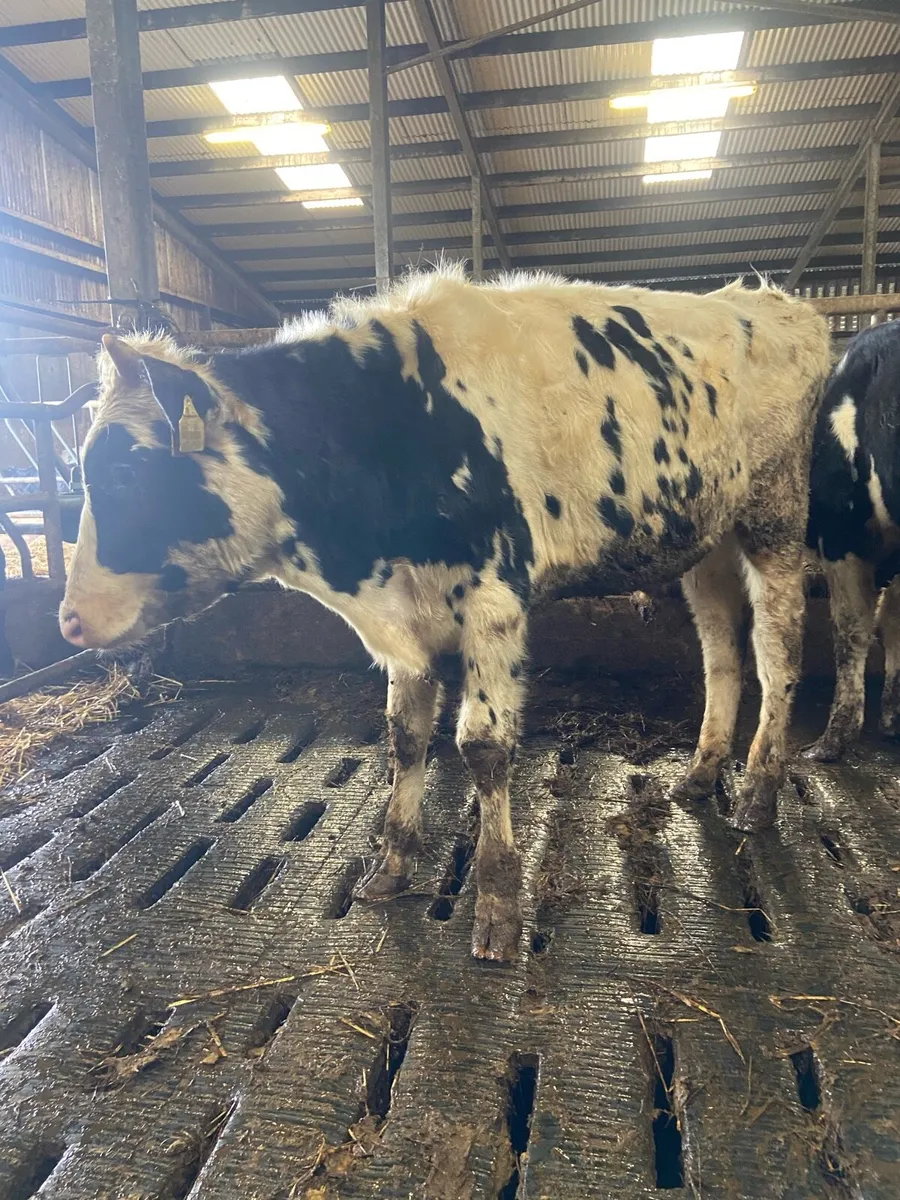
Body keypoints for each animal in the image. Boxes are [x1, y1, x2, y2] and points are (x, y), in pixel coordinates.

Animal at [58, 265, 831, 961]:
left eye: (125, 472)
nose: (69, 620)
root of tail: (778, 301)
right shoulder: (402, 621)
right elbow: (404, 737)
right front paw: (391, 867)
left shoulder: (494, 601)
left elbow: (482, 747)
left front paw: (496, 907)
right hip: (705, 537)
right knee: (722, 652)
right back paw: (700, 775)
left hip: (776, 517)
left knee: (779, 653)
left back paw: (758, 795)